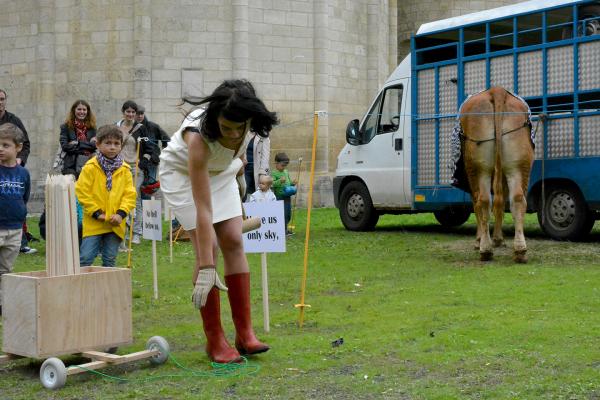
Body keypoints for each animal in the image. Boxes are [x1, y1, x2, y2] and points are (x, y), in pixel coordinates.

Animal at [459, 87, 534, 263]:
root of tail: (497, 90)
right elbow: (501, 202)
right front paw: (499, 239)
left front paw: (479, 240)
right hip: (518, 163)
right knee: (517, 199)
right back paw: (520, 250)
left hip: (477, 167)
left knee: (483, 200)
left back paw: (485, 249)